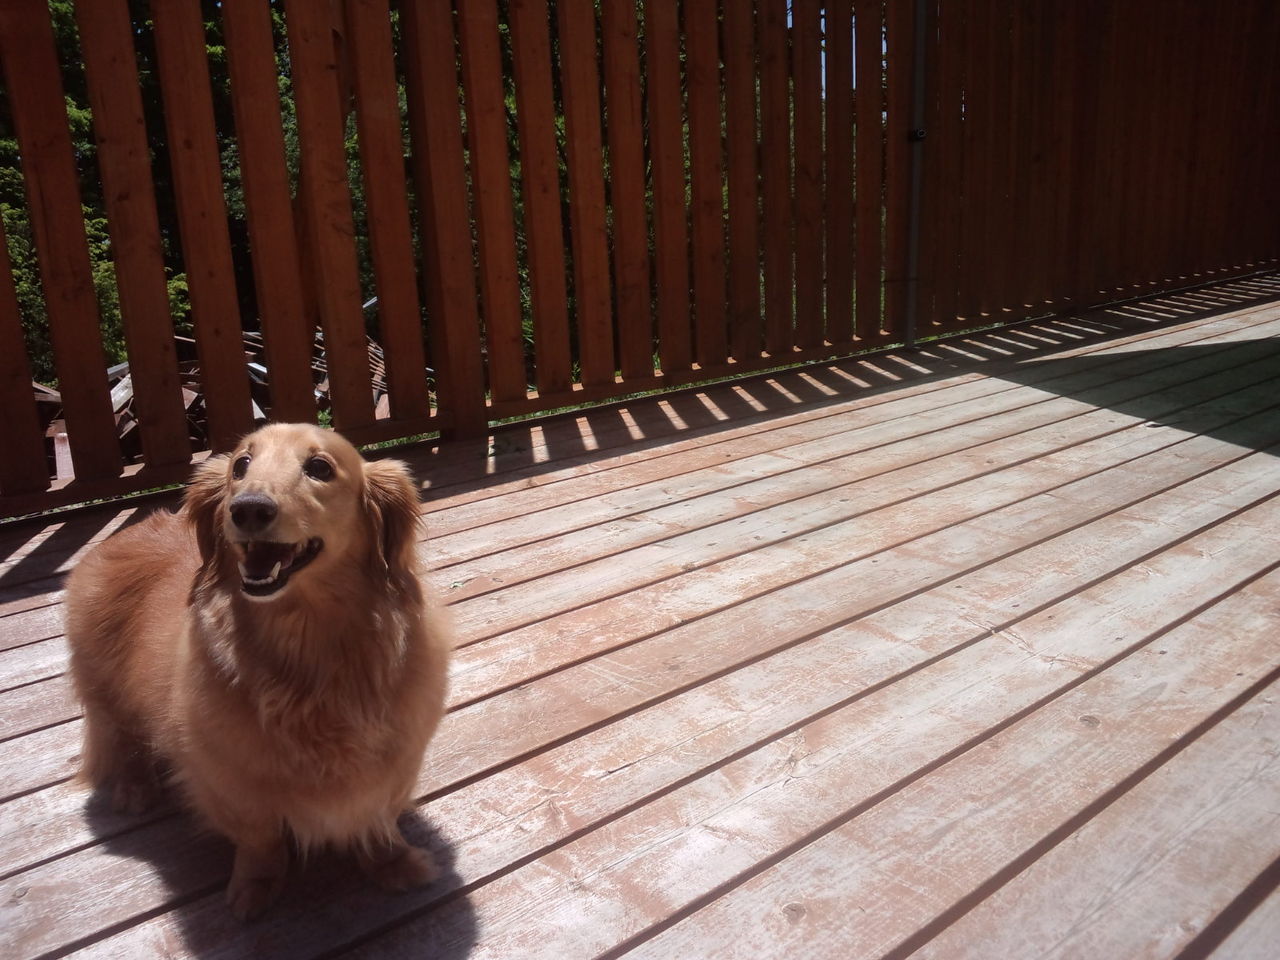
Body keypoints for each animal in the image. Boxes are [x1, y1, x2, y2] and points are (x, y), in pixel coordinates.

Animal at [65, 422, 451, 920]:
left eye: (319, 467)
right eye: (240, 465)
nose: (247, 508)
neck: (312, 654)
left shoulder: (394, 767)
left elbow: (376, 820)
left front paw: (392, 861)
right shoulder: (231, 781)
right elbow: (261, 841)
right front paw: (256, 885)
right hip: (104, 685)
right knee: (123, 737)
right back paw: (134, 787)